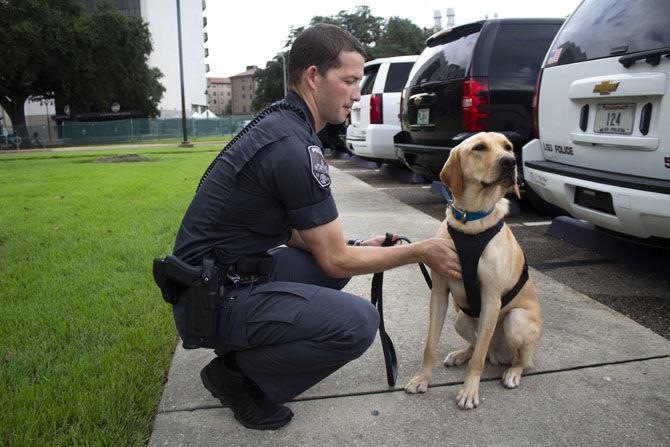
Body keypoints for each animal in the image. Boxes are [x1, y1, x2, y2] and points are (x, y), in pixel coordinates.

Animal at [406, 132, 544, 410]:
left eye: (508, 146)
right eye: (479, 148)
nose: (511, 161)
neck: (470, 220)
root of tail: (499, 354)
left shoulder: (491, 297)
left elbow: (478, 360)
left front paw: (469, 391)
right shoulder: (439, 292)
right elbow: (430, 345)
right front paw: (423, 379)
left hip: (516, 321)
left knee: (516, 358)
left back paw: (512, 372)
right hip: (461, 319)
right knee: (478, 345)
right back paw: (461, 354)